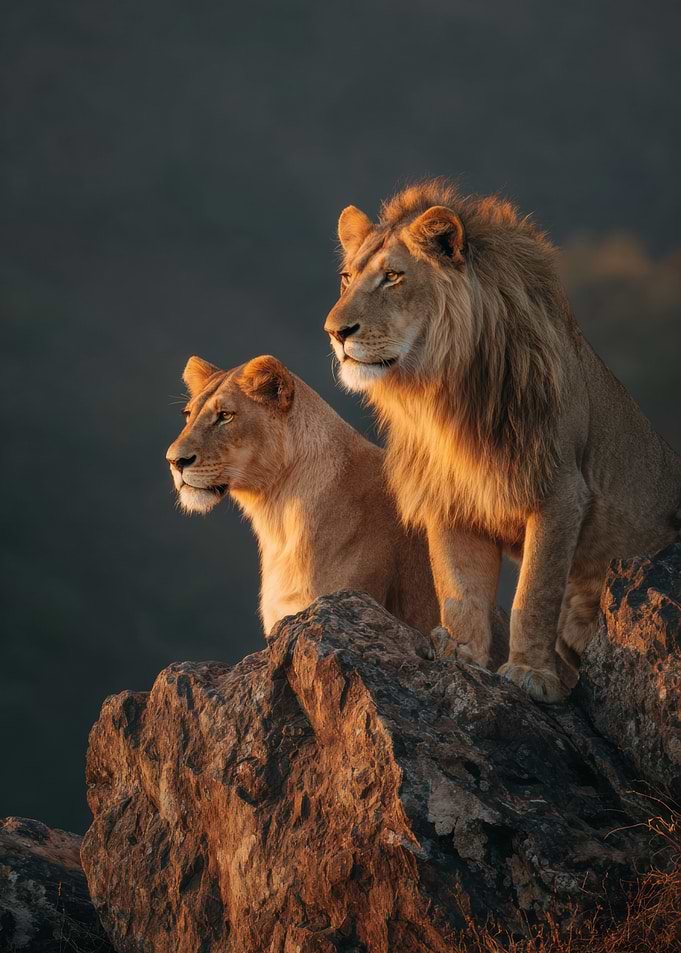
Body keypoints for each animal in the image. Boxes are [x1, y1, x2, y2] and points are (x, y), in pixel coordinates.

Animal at [324, 178, 681, 703]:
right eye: (347, 278)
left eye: (392, 276)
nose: (336, 332)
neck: (442, 394)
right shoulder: (451, 499)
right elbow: (458, 587)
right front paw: (460, 653)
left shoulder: (560, 491)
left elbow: (534, 594)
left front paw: (531, 673)